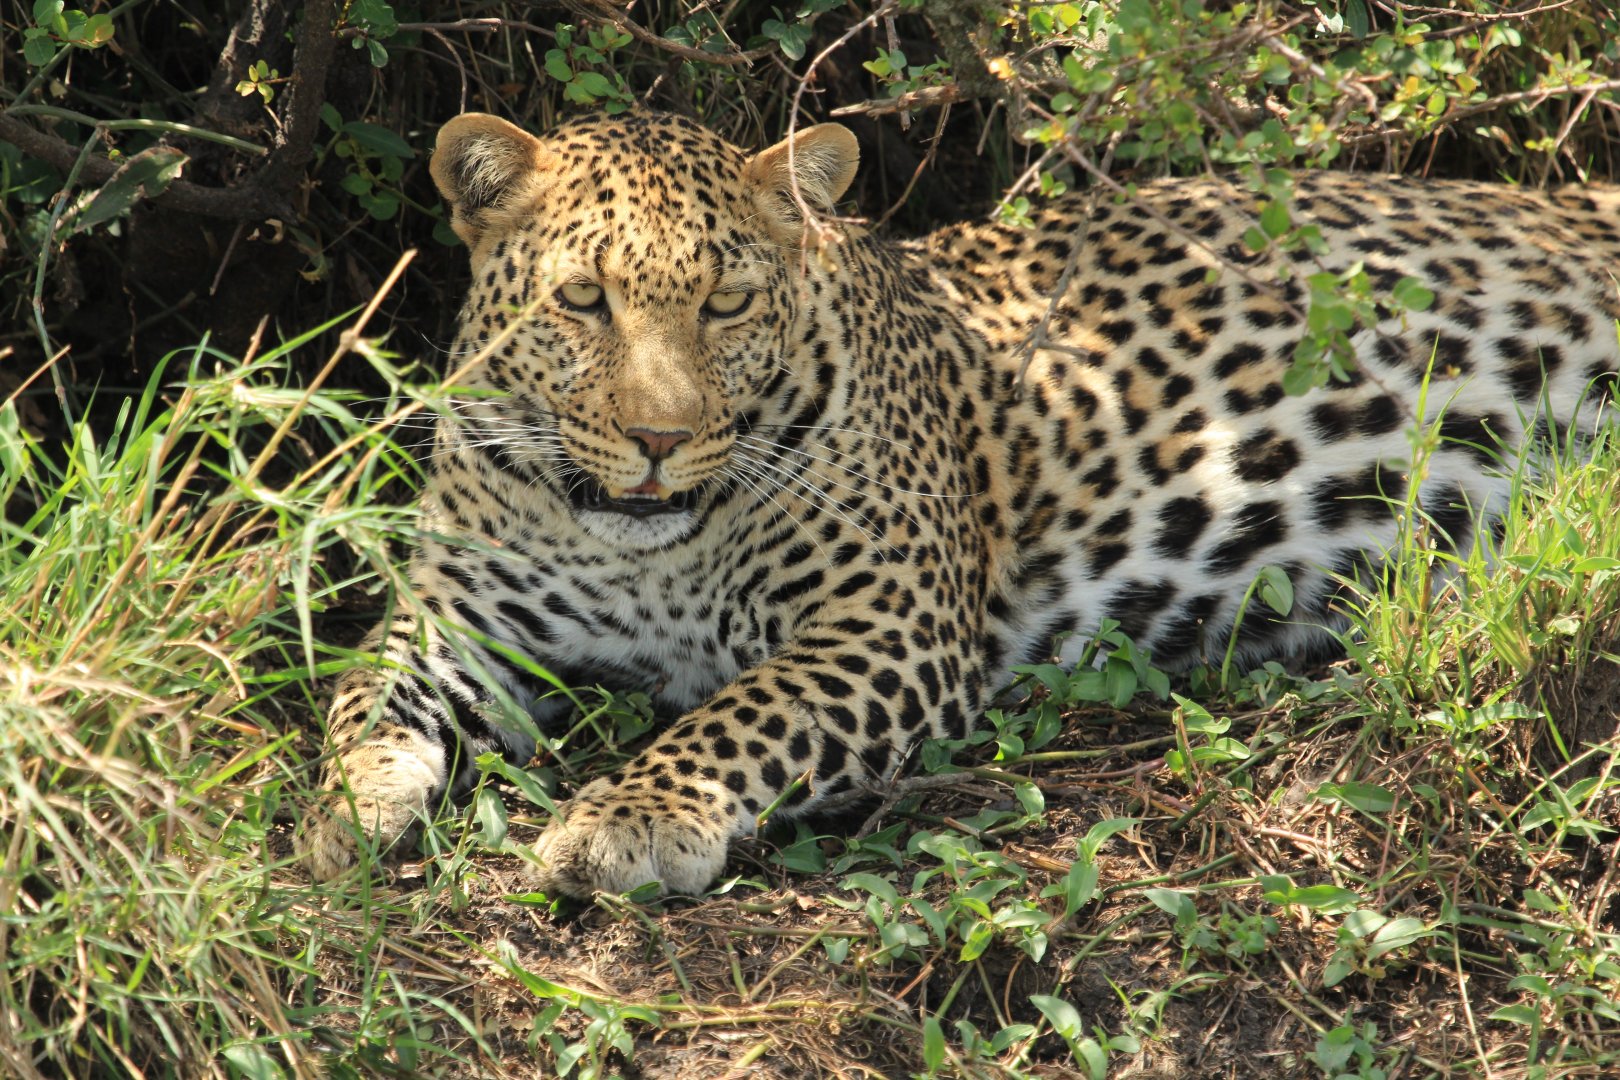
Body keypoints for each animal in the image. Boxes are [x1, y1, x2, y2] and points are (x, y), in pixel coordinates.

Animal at [304, 108, 1620, 897]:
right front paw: (343, 809)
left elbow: (741, 712)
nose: (659, 442)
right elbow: (362, 693)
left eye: (727, 305)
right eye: (583, 300)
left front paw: (627, 815)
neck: (639, 549)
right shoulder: (457, 616)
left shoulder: (887, 627)